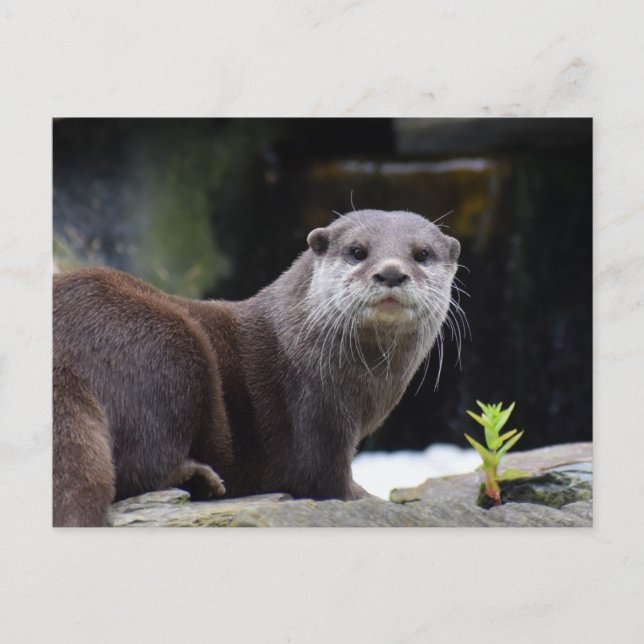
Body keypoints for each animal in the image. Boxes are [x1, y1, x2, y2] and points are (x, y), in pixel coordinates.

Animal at [53, 209, 461, 526]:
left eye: (422, 254)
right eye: (357, 251)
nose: (391, 273)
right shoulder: (318, 419)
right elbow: (326, 480)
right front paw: (368, 499)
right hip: (169, 349)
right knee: (141, 465)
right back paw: (202, 481)